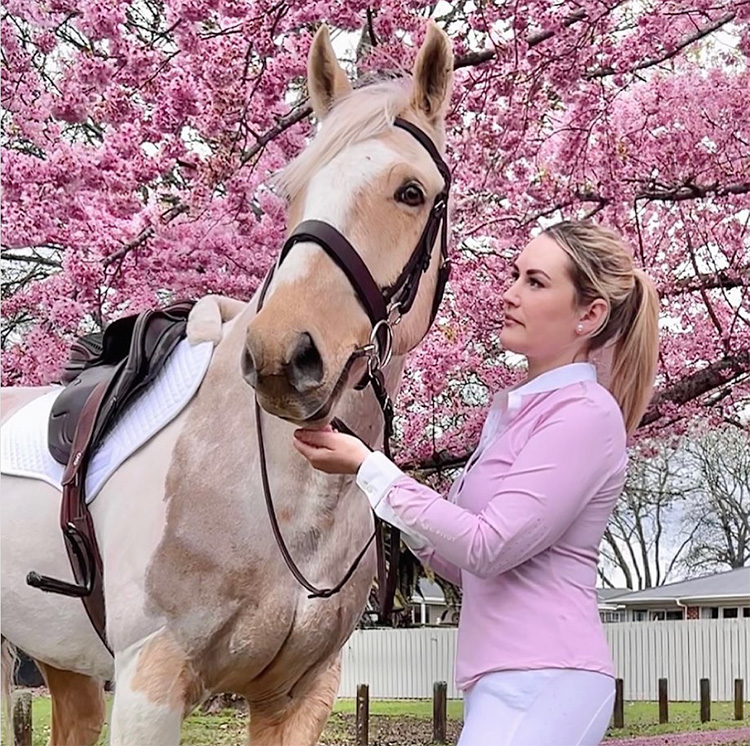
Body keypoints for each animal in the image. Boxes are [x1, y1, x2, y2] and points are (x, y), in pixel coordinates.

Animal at [0, 20, 456, 740]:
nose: (283, 356)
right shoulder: (150, 685)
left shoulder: (297, 695)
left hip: (63, 664)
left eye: (411, 192)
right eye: (295, 191)